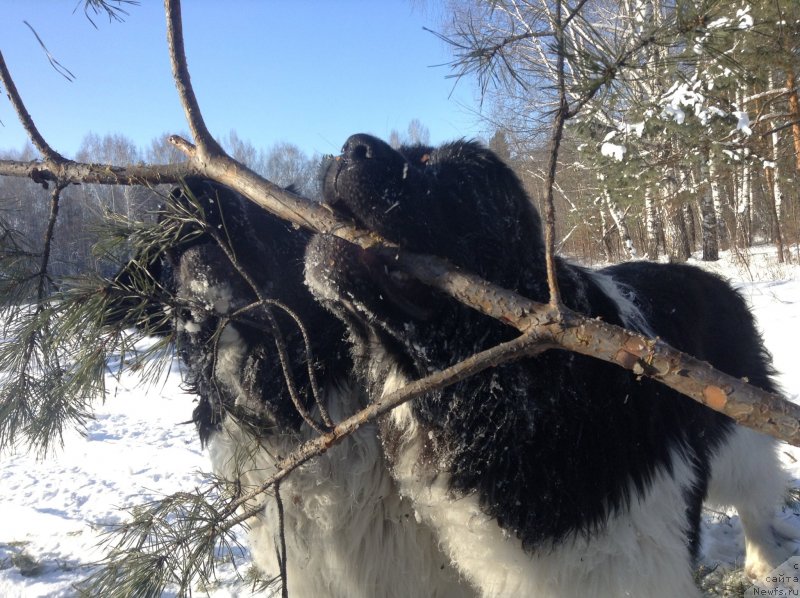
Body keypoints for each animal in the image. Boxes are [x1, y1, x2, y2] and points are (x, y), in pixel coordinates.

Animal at [304, 134, 792, 596]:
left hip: (737, 430)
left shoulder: (643, 549)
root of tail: (713, 278)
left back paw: (765, 565)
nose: (350, 146)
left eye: (438, 167)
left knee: (754, 493)